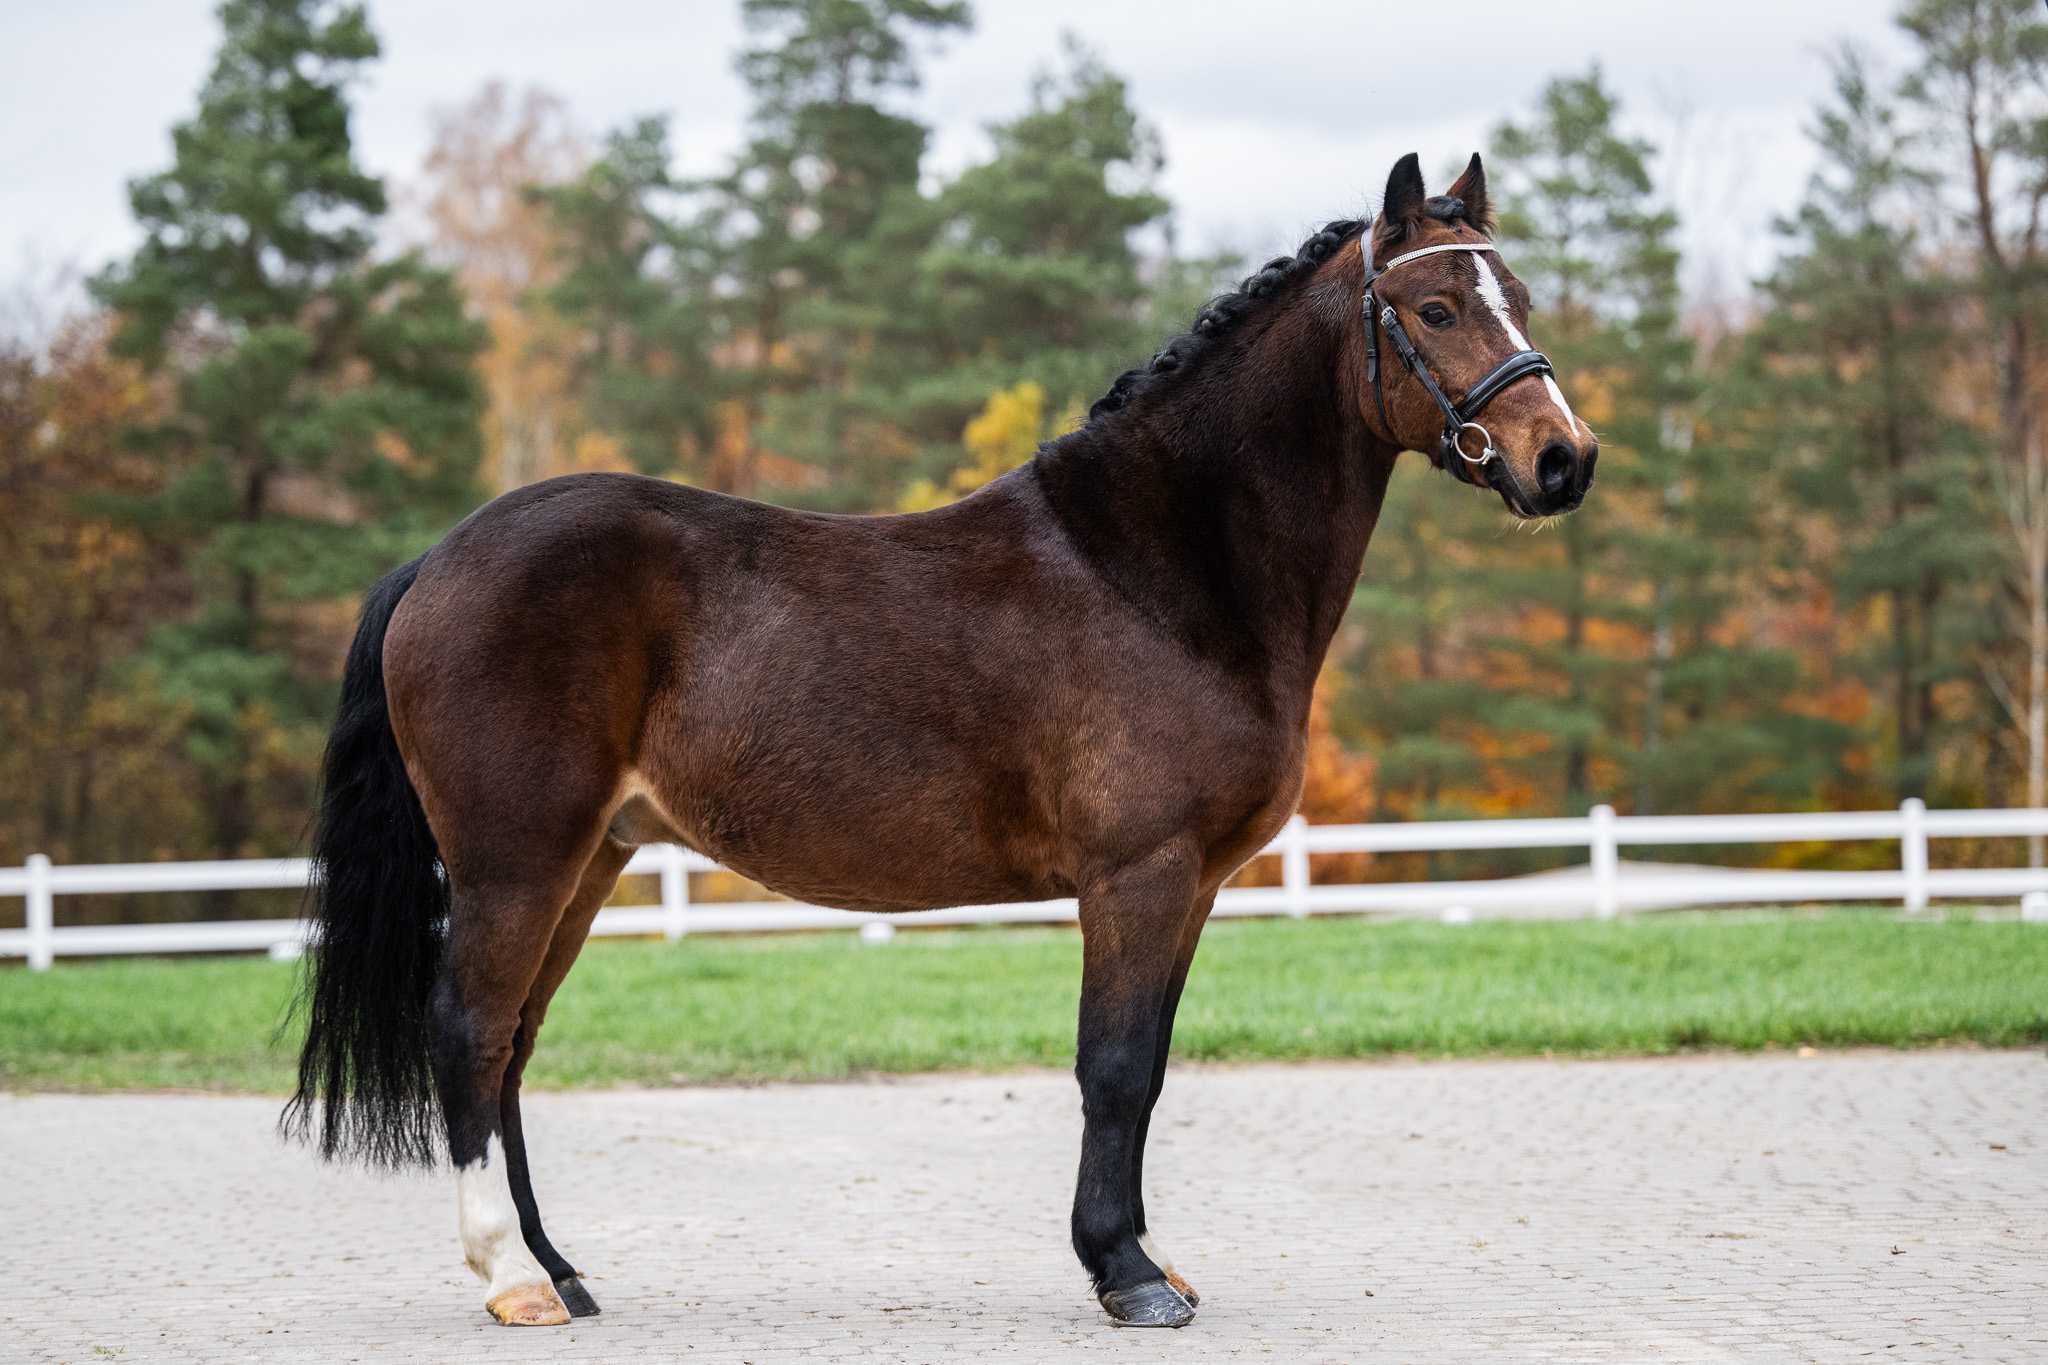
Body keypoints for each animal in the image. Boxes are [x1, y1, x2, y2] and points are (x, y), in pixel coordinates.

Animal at [282, 151, 1596, 1331]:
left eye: (1518, 299)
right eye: (1433, 307)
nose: (1562, 460)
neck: (1156, 570)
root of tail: (437, 560)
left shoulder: (1192, 887)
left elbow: (1149, 1069)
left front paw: (1145, 1261)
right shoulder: (1138, 874)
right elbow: (1113, 1068)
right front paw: (1124, 1276)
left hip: (591, 858)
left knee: (513, 1042)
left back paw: (558, 1272)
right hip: (516, 860)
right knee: (471, 1031)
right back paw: (510, 1281)